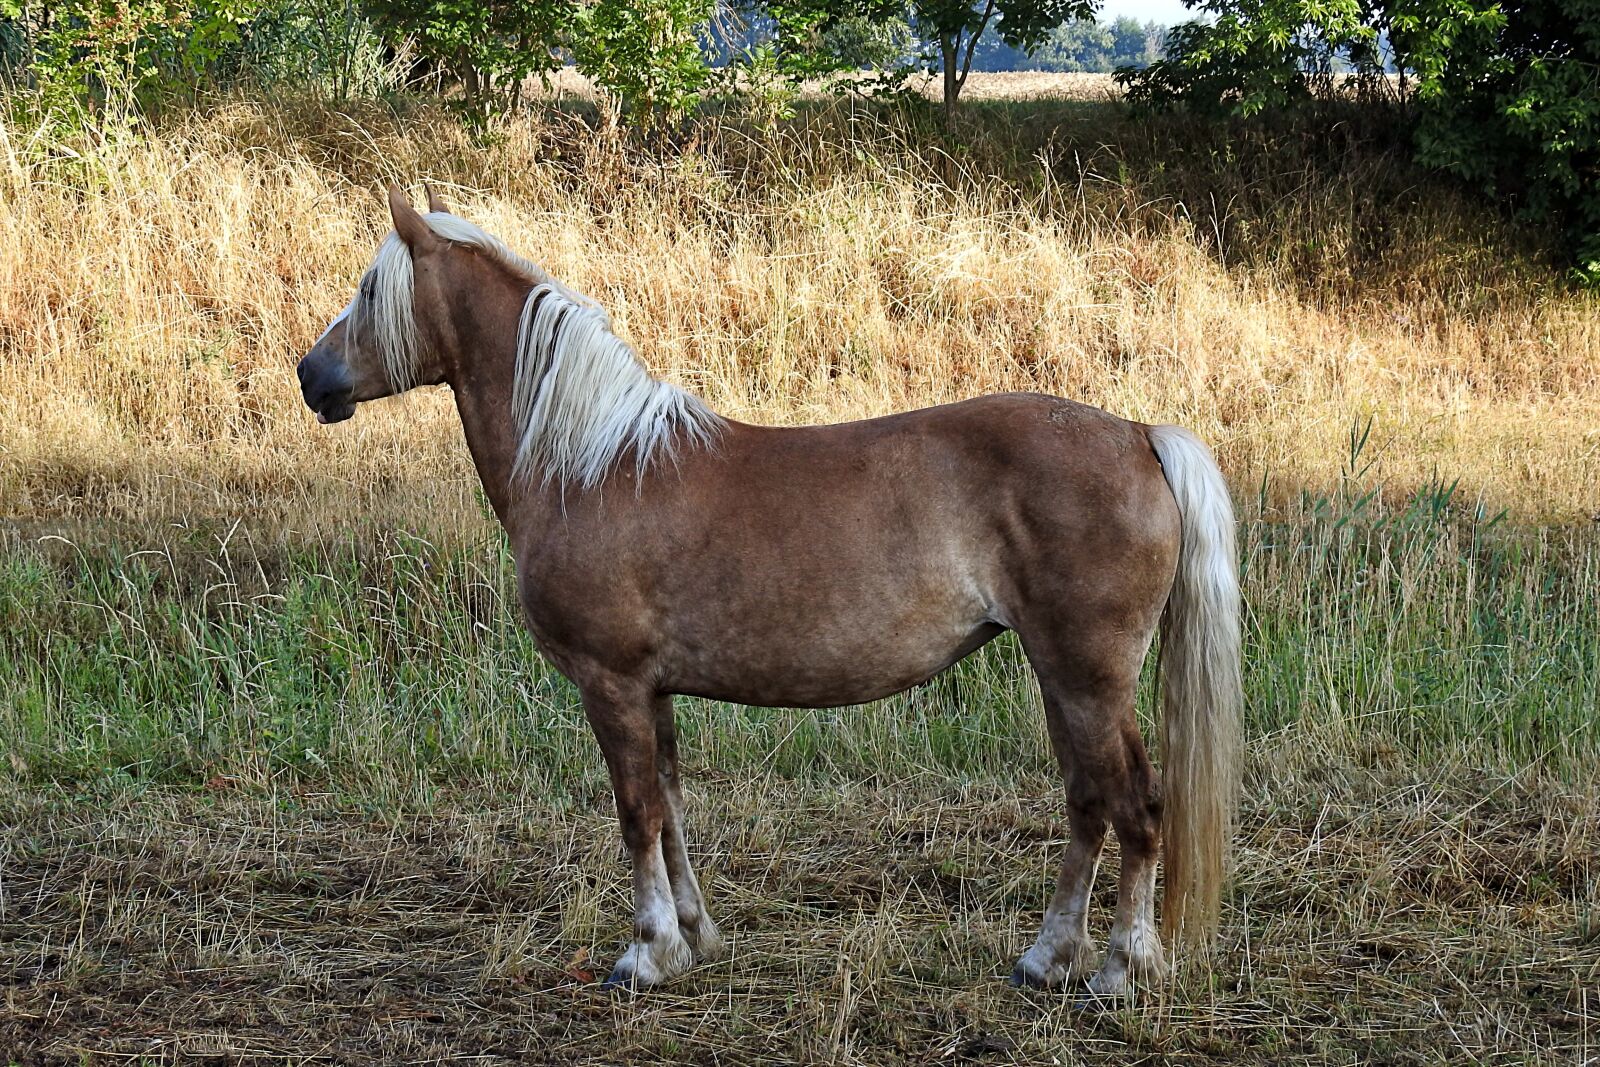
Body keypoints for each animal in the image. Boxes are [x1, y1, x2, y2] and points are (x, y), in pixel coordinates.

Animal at [296, 185, 1242, 995]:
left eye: (370, 288)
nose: (311, 376)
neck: (591, 465)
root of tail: (1138, 435)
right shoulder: (653, 690)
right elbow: (672, 807)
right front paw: (694, 937)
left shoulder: (612, 683)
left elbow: (636, 812)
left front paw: (644, 954)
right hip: (1060, 677)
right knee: (1088, 804)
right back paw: (1046, 958)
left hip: (1089, 677)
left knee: (1135, 806)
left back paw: (1118, 969)